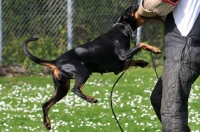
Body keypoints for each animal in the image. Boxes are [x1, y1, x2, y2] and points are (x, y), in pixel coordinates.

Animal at [23, 5, 161, 129]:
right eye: (136, 7)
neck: (123, 28)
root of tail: (56, 61)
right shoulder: (123, 55)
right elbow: (141, 44)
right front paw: (155, 49)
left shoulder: (118, 67)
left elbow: (134, 59)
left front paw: (142, 62)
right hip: (82, 72)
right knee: (76, 89)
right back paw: (90, 98)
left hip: (61, 88)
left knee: (45, 105)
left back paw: (47, 123)